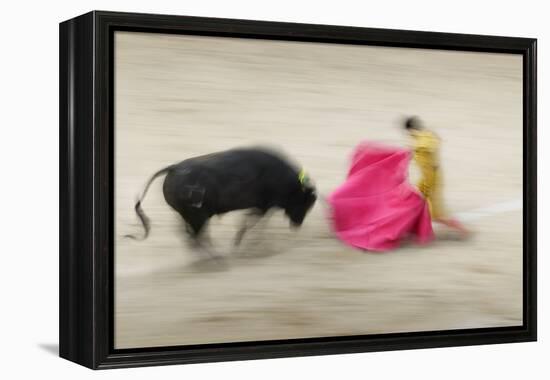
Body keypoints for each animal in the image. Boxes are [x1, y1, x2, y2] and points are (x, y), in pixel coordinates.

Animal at [128, 147, 320, 248]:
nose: (297, 224)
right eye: (304, 202)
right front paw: (241, 242)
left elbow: (251, 222)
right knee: (196, 237)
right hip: (198, 216)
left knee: (189, 236)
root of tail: (174, 168)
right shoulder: (264, 205)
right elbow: (251, 223)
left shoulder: (262, 206)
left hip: (189, 215)